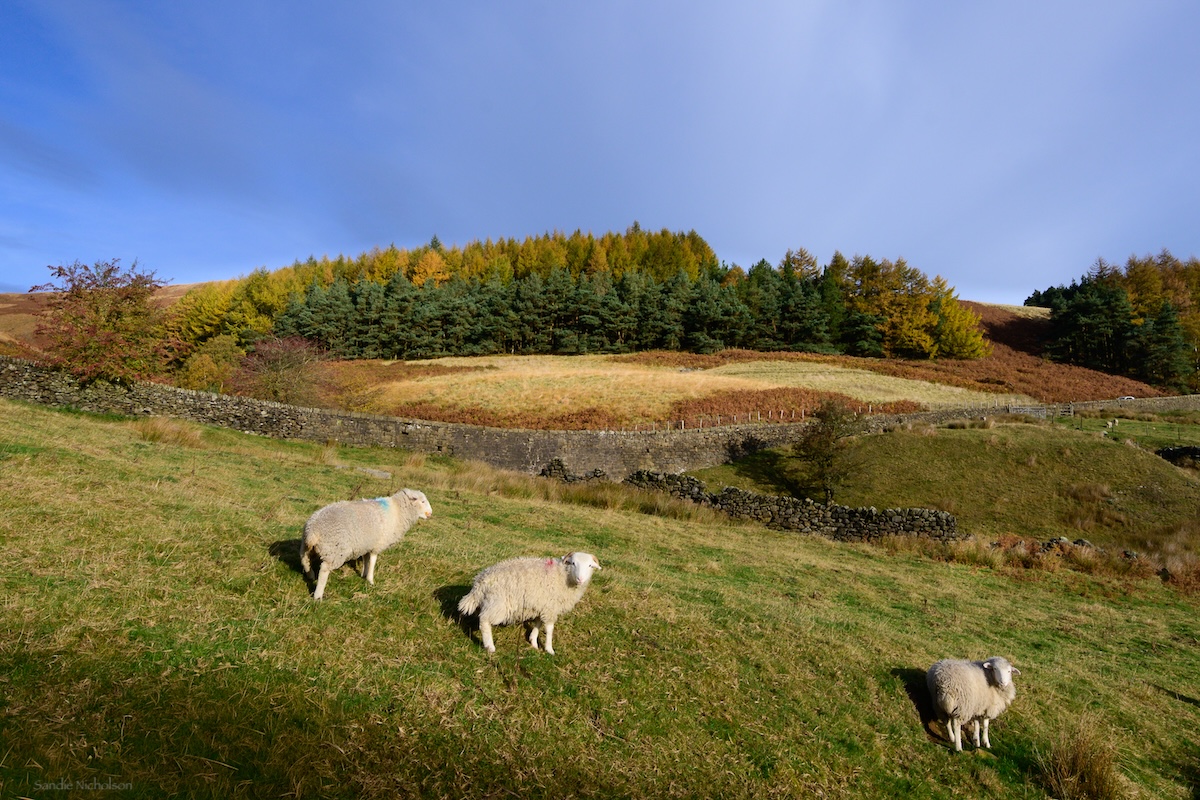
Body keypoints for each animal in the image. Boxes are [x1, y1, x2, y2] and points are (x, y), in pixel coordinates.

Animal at [299, 488, 433, 600]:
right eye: (422, 501)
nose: (430, 513)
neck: (398, 512)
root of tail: (313, 530)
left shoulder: (366, 544)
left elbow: (366, 559)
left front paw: (363, 574)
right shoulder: (377, 545)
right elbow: (372, 560)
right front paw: (370, 580)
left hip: (308, 547)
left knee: (305, 560)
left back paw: (310, 576)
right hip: (334, 551)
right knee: (324, 570)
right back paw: (318, 596)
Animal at [457, 552, 601, 655]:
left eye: (590, 566)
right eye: (573, 563)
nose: (580, 579)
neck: (563, 575)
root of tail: (480, 581)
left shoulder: (541, 605)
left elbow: (538, 623)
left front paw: (533, 642)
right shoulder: (550, 608)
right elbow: (549, 629)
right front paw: (549, 649)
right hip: (499, 604)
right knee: (484, 621)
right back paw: (490, 647)